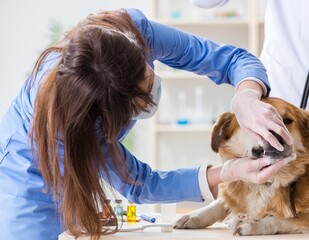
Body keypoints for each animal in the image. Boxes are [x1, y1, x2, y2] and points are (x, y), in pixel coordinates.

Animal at [172, 97, 308, 234]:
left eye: (287, 120)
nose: (279, 138)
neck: (266, 183)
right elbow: (220, 202)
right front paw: (193, 215)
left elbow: (278, 219)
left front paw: (252, 223)